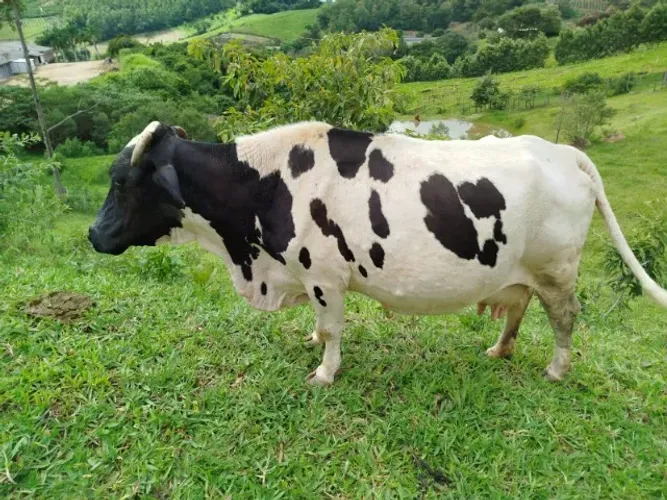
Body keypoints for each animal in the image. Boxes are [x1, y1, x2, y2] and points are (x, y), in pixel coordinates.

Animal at [88, 121, 667, 386]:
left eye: (119, 182)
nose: (93, 235)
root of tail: (561, 151)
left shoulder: (325, 276)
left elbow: (333, 331)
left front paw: (324, 373)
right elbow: (320, 326)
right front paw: (310, 340)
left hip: (556, 270)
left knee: (565, 317)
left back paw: (556, 369)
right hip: (519, 269)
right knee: (518, 305)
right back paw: (499, 350)